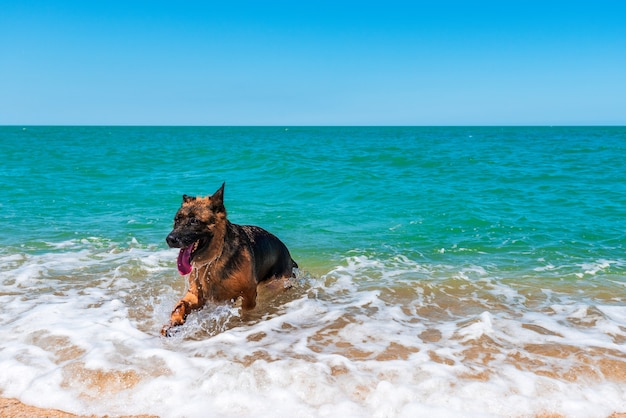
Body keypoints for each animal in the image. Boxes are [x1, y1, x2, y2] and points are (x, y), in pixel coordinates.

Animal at [161, 183, 298, 336]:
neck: (215, 259)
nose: (170, 239)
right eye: (177, 220)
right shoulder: (197, 295)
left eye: (194, 221)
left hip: (276, 284)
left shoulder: (248, 293)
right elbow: (180, 306)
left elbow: (246, 310)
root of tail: (287, 253)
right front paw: (173, 323)